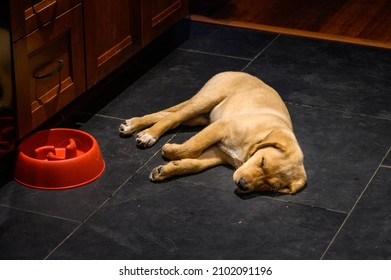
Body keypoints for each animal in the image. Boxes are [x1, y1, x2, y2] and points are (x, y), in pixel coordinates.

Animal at [119, 71, 306, 195]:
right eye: (262, 162)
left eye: (270, 186)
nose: (242, 185)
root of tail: (238, 71)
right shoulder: (221, 126)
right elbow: (194, 146)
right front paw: (170, 151)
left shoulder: (219, 154)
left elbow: (197, 164)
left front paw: (166, 170)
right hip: (205, 100)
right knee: (172, 117)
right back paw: (147, 134)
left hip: (200, 117)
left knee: (167, 115)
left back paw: (134, 124)